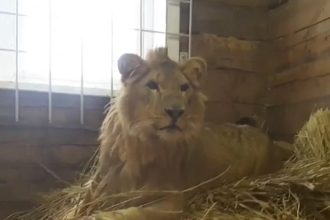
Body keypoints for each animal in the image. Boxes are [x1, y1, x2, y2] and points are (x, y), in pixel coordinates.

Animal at [78, 48, 290, 220]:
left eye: (184, 88)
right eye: (152, 85)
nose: (176, 111)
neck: (141, 145)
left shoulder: (173, 199)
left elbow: (136, 212)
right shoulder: (100, 185)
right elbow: (83, 201)